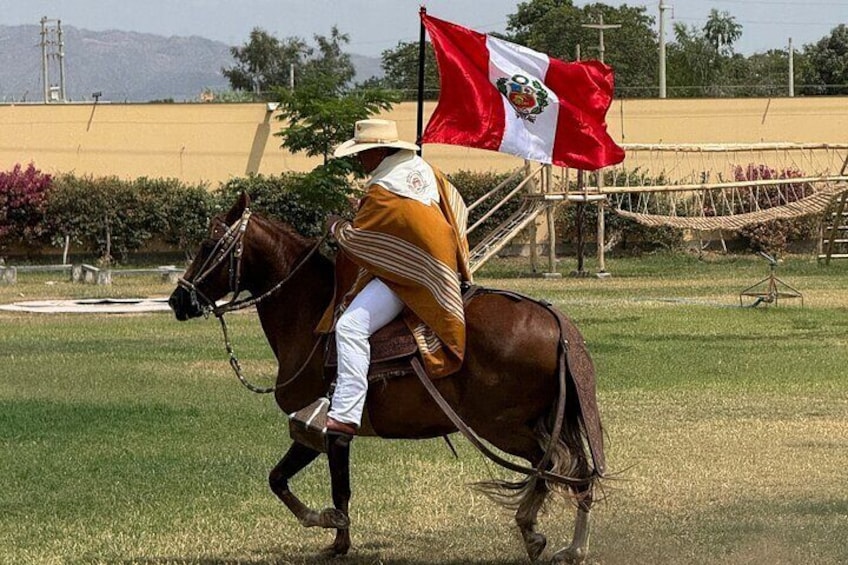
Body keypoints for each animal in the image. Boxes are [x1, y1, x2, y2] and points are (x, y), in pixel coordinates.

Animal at [167, 192, 604, 560]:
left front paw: (331, 531)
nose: (177, 300)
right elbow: (297, 482)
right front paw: (336, 537)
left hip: (501, 426)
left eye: (209, 245)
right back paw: (561, 543)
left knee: (556, 466)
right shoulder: (323, 431)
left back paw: (545, 535)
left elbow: (315, 486)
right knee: (572, 470)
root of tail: (556, 321)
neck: (311, 316)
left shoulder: (323, 428)